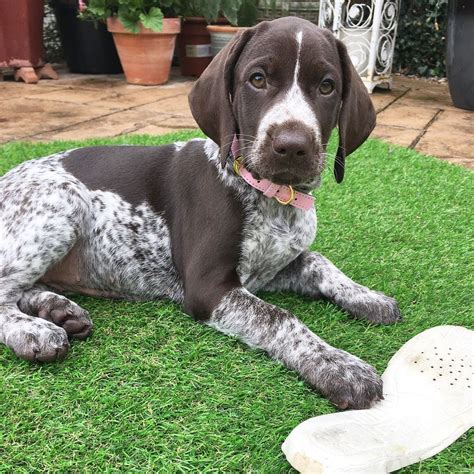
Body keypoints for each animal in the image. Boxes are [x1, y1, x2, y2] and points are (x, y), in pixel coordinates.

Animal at [0, 18, 400, 410]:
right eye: (258, 79)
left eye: (327, 86)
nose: (292, 146)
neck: (272, 197)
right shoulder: (209, 287)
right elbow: (280, 317)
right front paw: (338, 365)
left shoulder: (268, 271)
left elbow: (320, 262)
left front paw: (367, 297)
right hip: (63, 200)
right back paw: (33, 329)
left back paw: (58, 309)